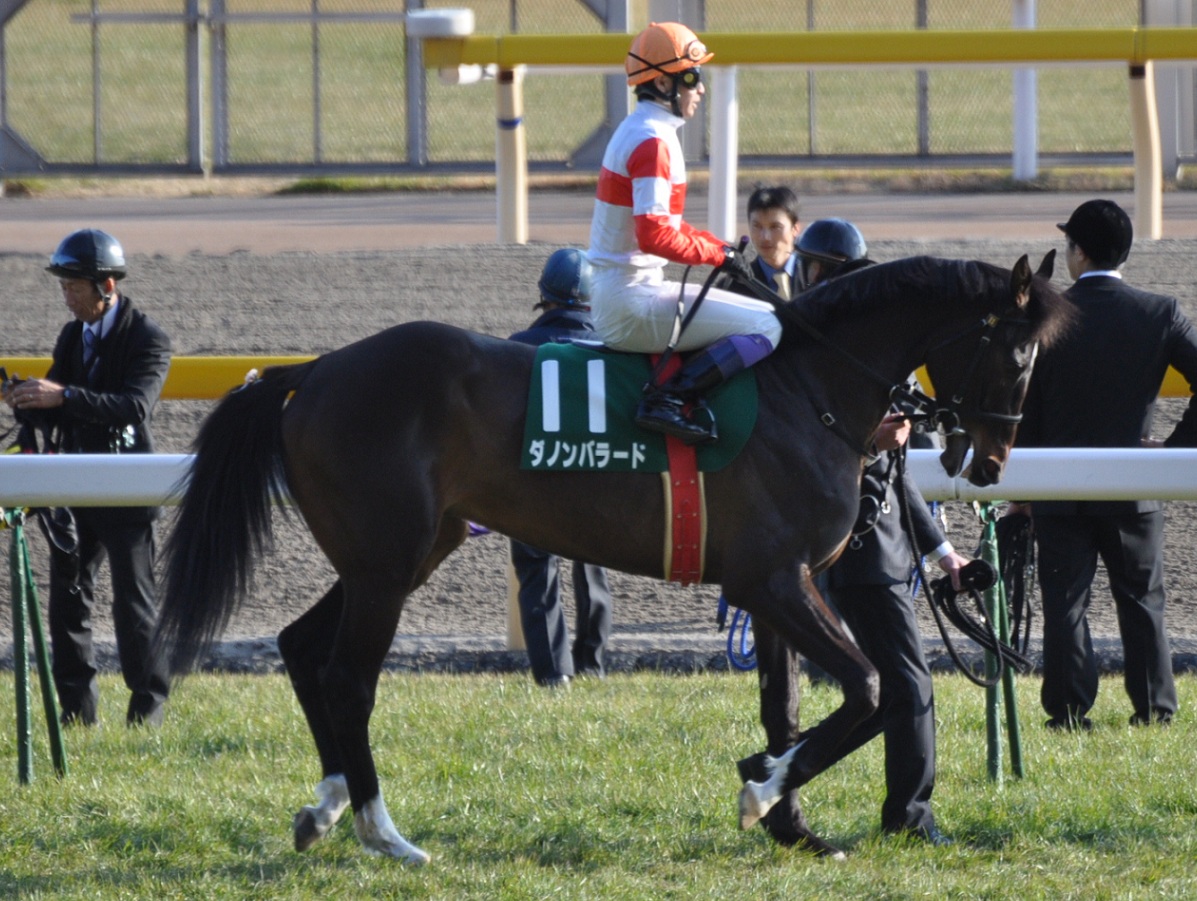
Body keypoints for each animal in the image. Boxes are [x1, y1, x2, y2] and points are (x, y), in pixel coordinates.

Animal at [154, 253, 1071, 863]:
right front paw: (760, 787)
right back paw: (386, 831)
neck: (807, 388)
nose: (991, 461)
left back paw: (326, 804)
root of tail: (311, 371)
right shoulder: (768, 578)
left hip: (397, 553)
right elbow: (872, 688)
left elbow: (794, 704)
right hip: (385, 561)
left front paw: (788, 812)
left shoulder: (780, 585)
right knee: (347, 677)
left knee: (303, 647)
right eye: (1018, 356)